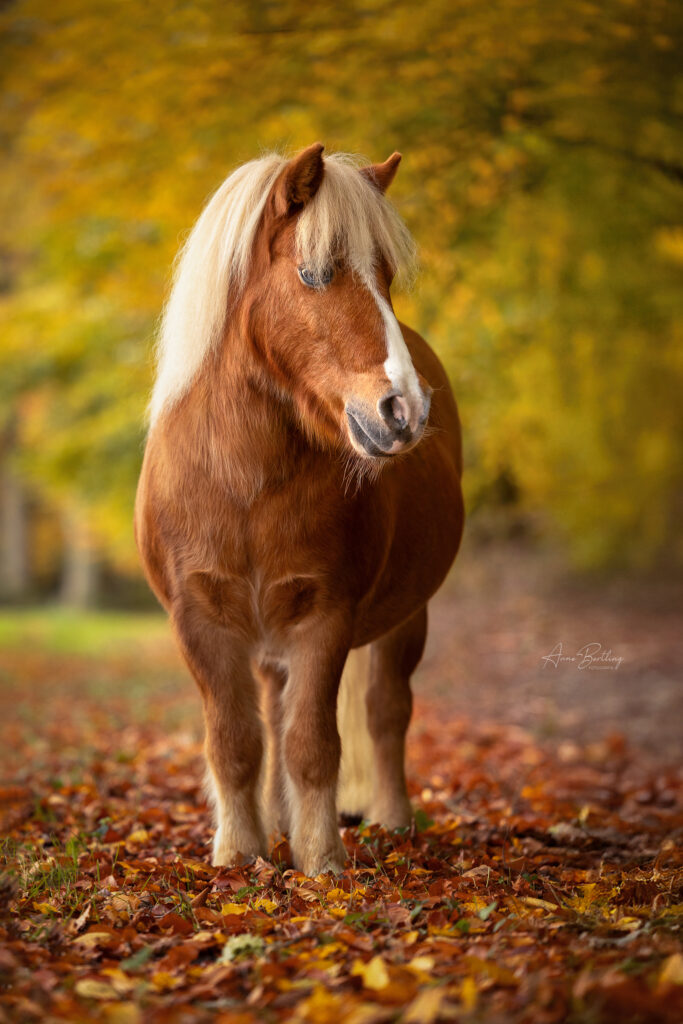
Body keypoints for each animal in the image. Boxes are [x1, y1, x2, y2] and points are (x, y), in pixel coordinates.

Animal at [135, 143, 464, 876]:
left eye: (386, 276)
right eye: (313, 273)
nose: (404, 409)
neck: (242, 481)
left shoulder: (326, 617)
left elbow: (313, 741)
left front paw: (321, 861)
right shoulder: (201, 621)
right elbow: (235, 741)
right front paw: (239, 854)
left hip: (409, 616)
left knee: (385, 710)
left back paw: (392, 822)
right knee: (272, 714)